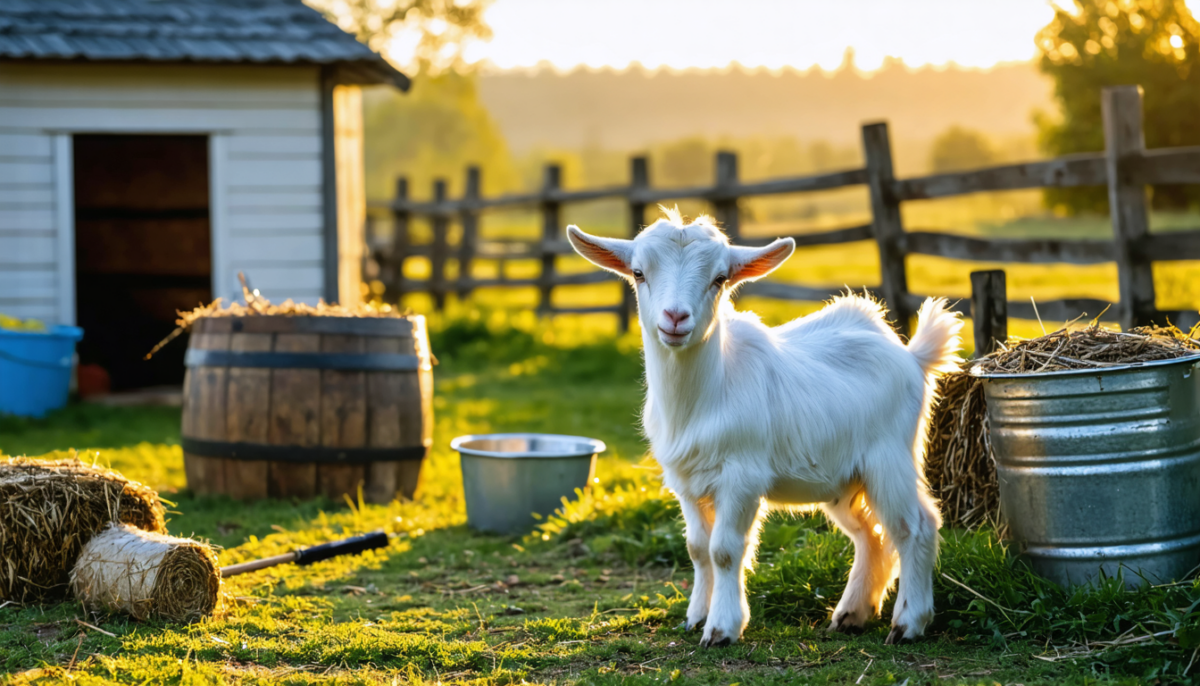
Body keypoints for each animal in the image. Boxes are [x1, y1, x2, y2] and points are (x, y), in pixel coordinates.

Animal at [567, 210, 962, 647]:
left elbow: (724, 549)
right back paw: (852, 615)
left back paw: (908, 622)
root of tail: (911, 354)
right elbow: (697, 548)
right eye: (638, 272)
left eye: (720, 278)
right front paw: (695, 617)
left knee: (917, 526)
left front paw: (721, 628)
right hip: (845, 478)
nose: (675, 318)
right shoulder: (685, 480)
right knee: (871, 535)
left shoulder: (742, 476)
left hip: (889, 458)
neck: (705, 394)